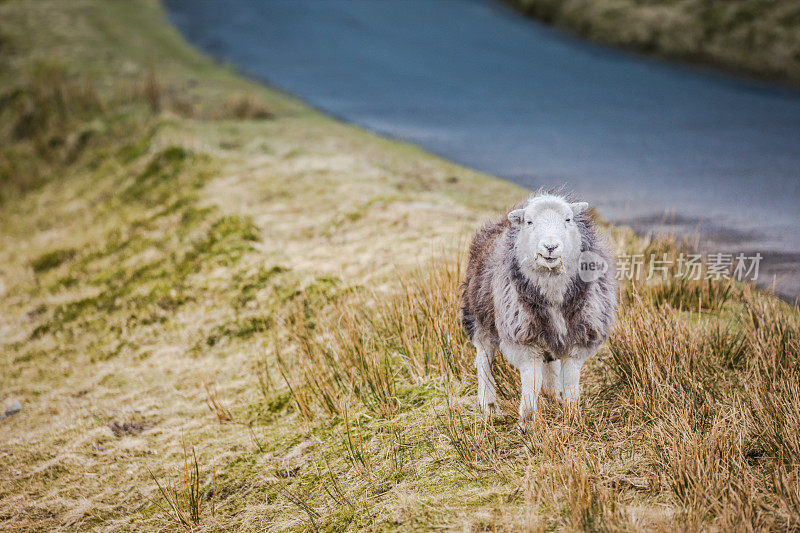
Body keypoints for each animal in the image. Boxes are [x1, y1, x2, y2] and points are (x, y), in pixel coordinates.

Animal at [460, 192, 616, 420]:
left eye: (568, 219)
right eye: (529, 222)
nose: (550, 247)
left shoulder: (579, 337)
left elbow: (570, 380)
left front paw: (573, 415)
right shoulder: (524, 340)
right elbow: (532, 382)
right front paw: (527, 420)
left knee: (551, 363)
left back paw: (555, 395)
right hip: (478, 318)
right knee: (483, 361)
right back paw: (489, 405)